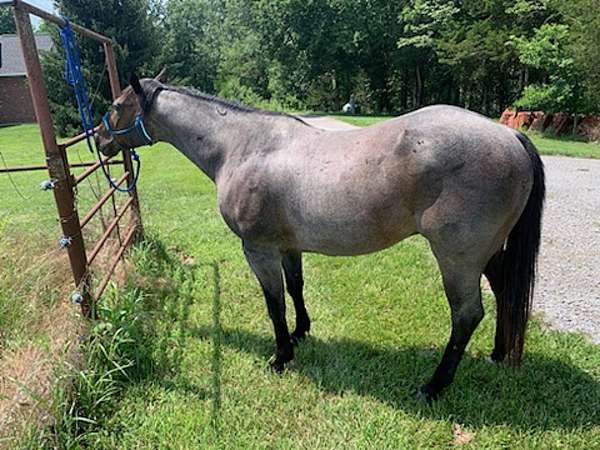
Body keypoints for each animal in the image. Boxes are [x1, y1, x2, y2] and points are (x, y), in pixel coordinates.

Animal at [95, 72, 544, 402]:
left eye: (115, 106)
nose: (99, 140)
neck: (242, 147)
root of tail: (510, 136)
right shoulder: (288, 246)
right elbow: (296, 287)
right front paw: (301, 332)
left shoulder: (258, 249)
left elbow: (274, 302)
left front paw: (281, 356)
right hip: (487, 253)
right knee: (505, 292)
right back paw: (498, 354)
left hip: (457, 258)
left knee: (466, 314)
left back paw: (433, 386)